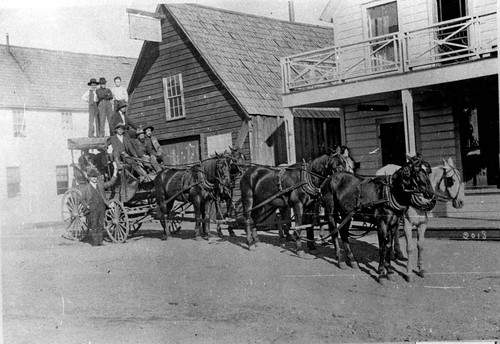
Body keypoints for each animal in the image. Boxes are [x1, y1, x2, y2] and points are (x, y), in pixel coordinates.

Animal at [320, 155, 434, 284]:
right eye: (417, 171)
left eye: (428, 171)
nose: (431, 193)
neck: (390, 192)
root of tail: (329, 179)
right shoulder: (382, 224)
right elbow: (382, 248)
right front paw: (381, 274)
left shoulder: (393, 224)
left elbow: (389, 246)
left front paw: (390, 272)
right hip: (331, 211)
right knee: (334, 233)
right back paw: (340, 260)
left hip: (346, 213)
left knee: (344, 233)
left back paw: (352, 260)